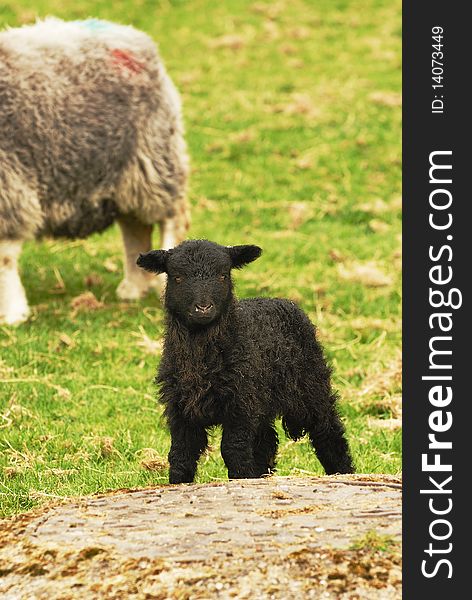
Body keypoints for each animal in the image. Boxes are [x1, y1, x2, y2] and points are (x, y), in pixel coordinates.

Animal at [137, 239, 354, 482]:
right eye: (177, 277)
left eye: (223, 275)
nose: (203, 308)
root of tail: (283, 301)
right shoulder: (181, 409)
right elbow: (181, 455)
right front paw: (178, 484)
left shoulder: (240, 404)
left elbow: (233, 450)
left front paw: (241, 479)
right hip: (261, 400)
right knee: (265, 442)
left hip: (310, 386)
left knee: (328, 431)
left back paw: (343, 473)